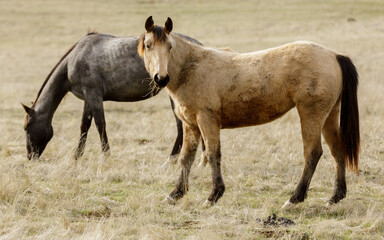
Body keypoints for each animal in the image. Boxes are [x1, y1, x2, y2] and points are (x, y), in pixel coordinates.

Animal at [22, 31, 202, 163]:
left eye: (27, 128)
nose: (30, 157)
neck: (74, 59)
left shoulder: (94, 95)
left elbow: (100, 125)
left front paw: (106, 155)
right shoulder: (88, 98)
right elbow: (84, 125)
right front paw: (77, 155)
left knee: (182, 126)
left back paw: (172, 159)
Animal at [138, 16, 360, 208]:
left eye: (170, 46)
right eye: (148, 45)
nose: (161, 78)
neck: (191, 68)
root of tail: (333, 55)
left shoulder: (207, 120)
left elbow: (212, 154)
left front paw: (213, 195)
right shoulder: (190, 124)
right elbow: (186, 158)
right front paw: (175, 194)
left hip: (311, 114)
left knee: (313, 153)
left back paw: (294, 199)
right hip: (329, 115)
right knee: (337, 150)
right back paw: (335, 197)